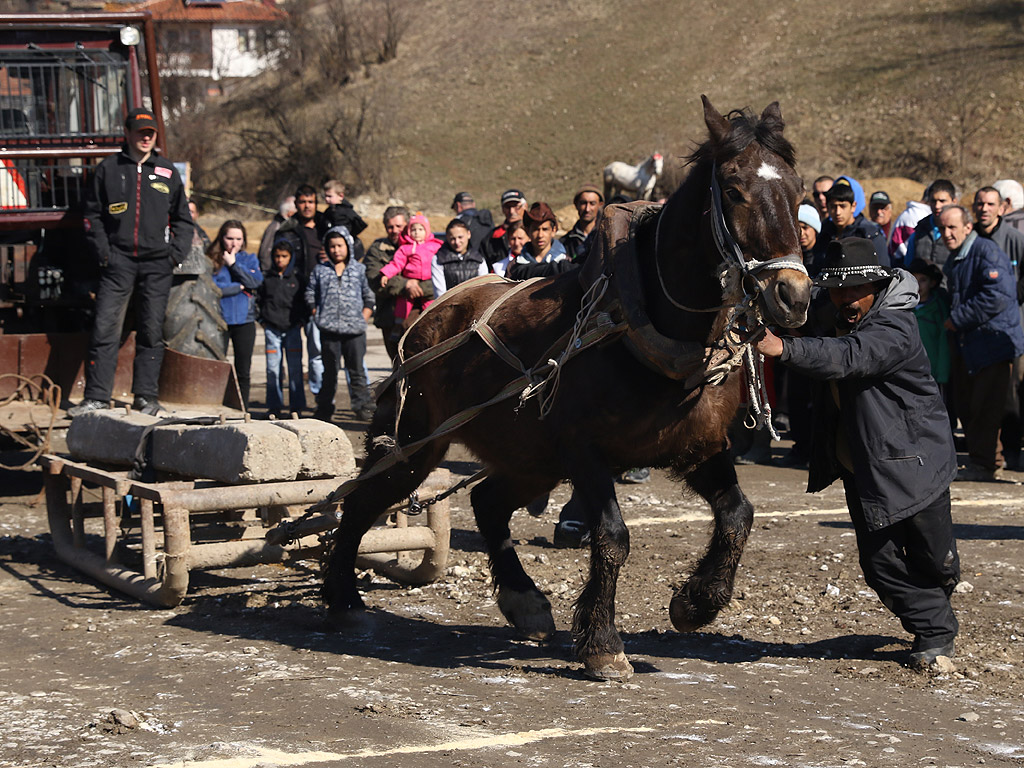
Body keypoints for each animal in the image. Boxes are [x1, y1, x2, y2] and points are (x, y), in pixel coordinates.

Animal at [319, 99, 806, 684]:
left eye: (798, 189)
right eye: (733, 190)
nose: (794, 295)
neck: (642, 327)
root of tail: (431, 314)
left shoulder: (701, 448)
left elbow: (738, 515)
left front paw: (696, 602)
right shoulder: (583, 451)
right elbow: (613, 537)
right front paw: (602, 644)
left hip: (529, 457)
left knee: (486, 502)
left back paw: (523, 601)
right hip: (417, 443)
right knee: (363, 500)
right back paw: (343, 599)